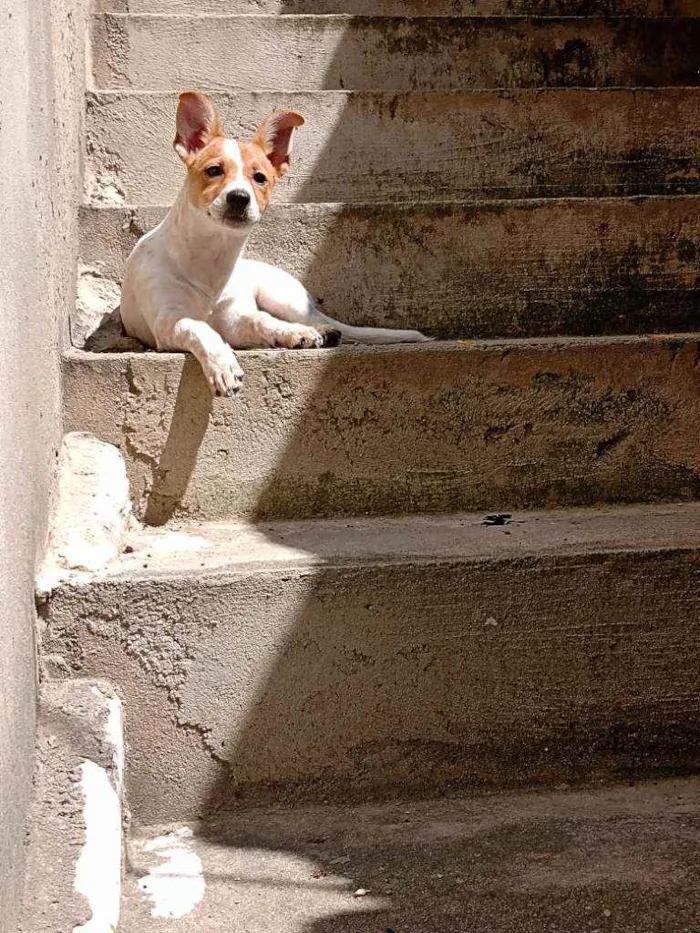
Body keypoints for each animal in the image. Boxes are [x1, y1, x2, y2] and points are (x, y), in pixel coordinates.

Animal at [121, 93, 430, 396]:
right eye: (214, 170)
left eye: (259, 178)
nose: (239, 198)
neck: (211, 256)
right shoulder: (167, 320)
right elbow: (198, 328)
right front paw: (223, 365)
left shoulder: (235, 317)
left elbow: (261, 320)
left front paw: (294, 334)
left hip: (281, 296)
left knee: (310, 318)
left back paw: (318, 330)